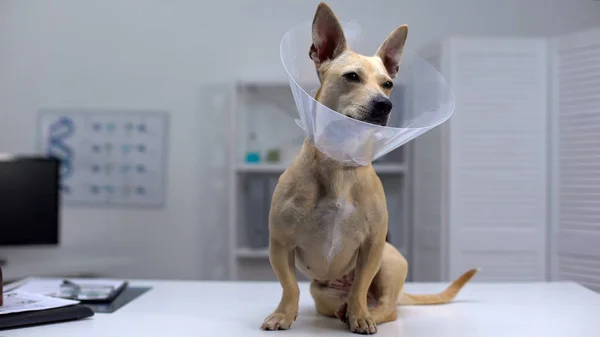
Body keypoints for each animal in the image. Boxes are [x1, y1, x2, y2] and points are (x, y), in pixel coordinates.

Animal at [262, 3, 478, 334]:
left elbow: (360, 287)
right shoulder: (281, 245)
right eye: (351, 76)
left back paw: (365, 313)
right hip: (321, 292)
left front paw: (360, 315)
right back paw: (343, 311)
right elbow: (290, 287)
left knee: (387, 307)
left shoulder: (372, 248)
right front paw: (283, 314)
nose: (384, 105)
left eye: (388, 84)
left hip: (388, 262)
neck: (339, 164)